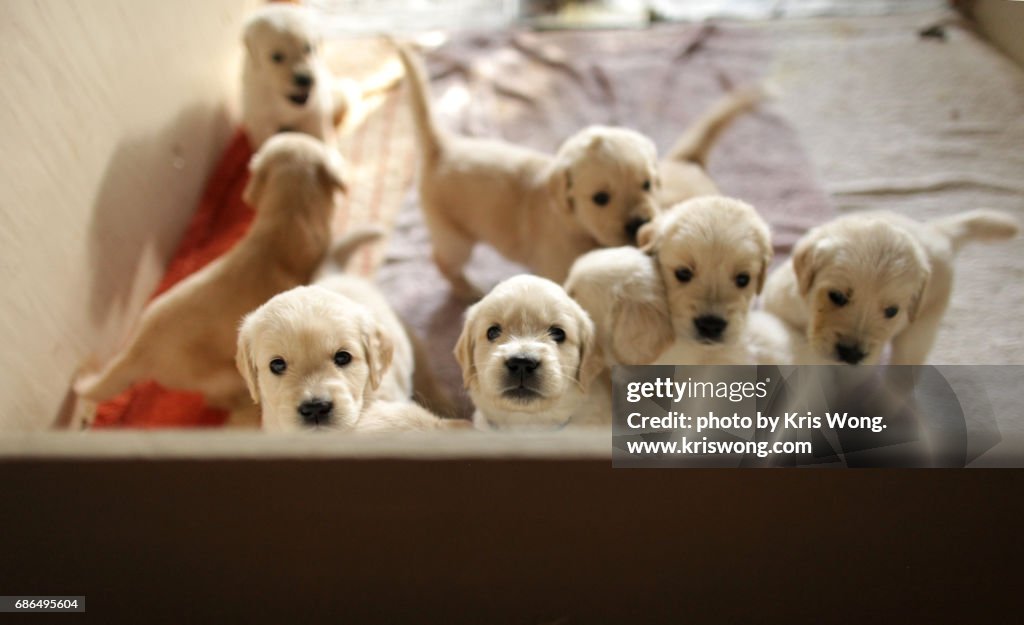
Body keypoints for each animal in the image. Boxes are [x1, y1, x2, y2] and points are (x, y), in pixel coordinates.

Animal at [395, 43, 659, 297]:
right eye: (600, 198)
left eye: (647, 184)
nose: (638, 224)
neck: (574, 224)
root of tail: (443, 146)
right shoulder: (558, 267)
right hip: (454, 236)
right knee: (442, 261)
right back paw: (468, 289)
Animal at [761, 209, 1015, 364]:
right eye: (837, 296)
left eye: (892, 311)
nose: (852, 354)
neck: (808, 319)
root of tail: (938, 232)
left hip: (919, 332)